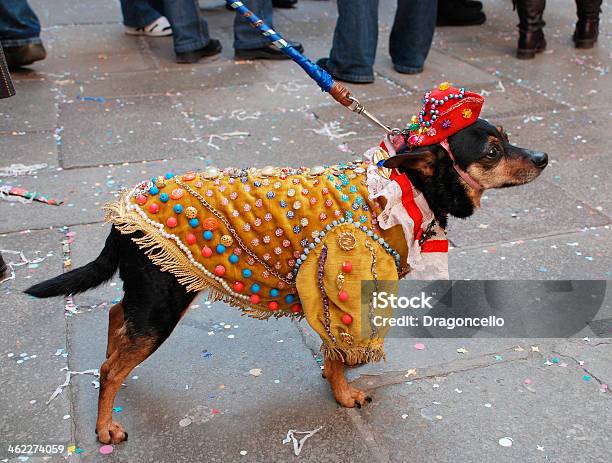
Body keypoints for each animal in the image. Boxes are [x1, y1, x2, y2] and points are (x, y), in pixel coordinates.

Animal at [26, 113, 548, 446]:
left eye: (509, 137)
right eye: (492, 151)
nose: (543, 156)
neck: (403, 189)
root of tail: (121, 217)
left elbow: (334, 350)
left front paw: (335, 376)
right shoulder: (345, 286)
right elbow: (341, 354)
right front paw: (344, 394)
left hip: (153, 296)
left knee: (116, 318)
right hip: (162, 303)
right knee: (110, 367)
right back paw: (103, 427)